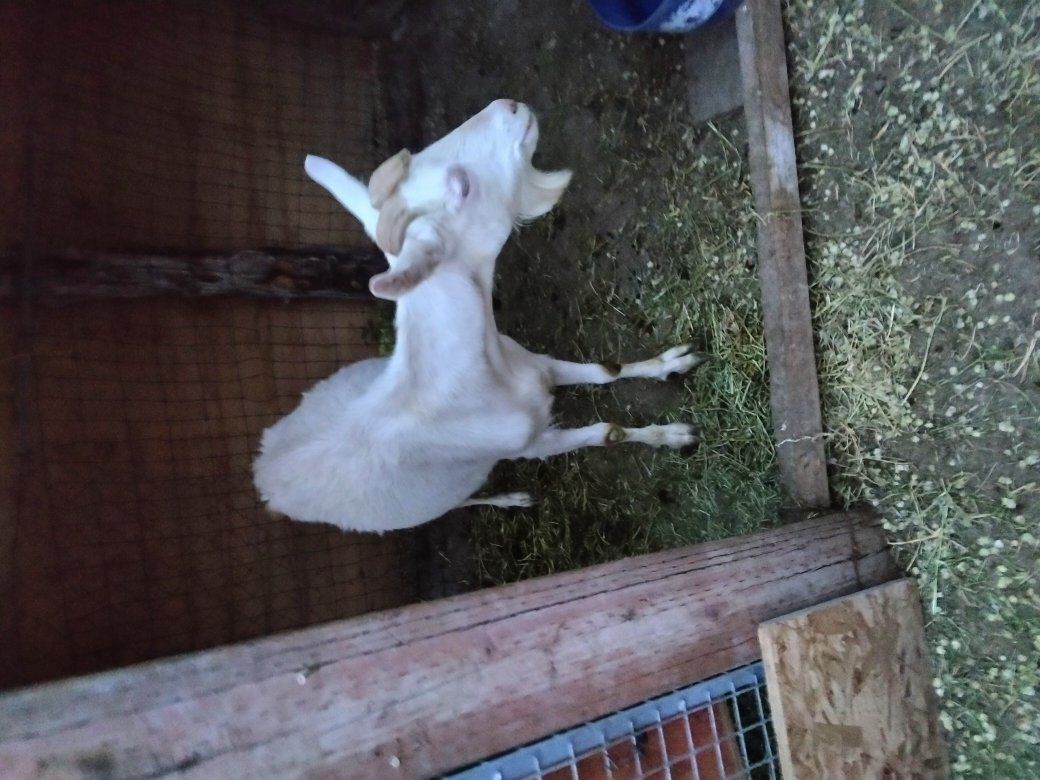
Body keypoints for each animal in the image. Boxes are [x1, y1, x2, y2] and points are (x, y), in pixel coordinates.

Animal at [253, 99, 702, 533]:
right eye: (462, 187)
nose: (510, 106)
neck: (475, 376)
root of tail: (261, 473)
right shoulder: (529, 444)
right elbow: (608, 433)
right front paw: (675, 436)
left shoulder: (535, 363)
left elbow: (606, 371)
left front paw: (670, 364)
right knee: (458, 501)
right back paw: (510, 499)